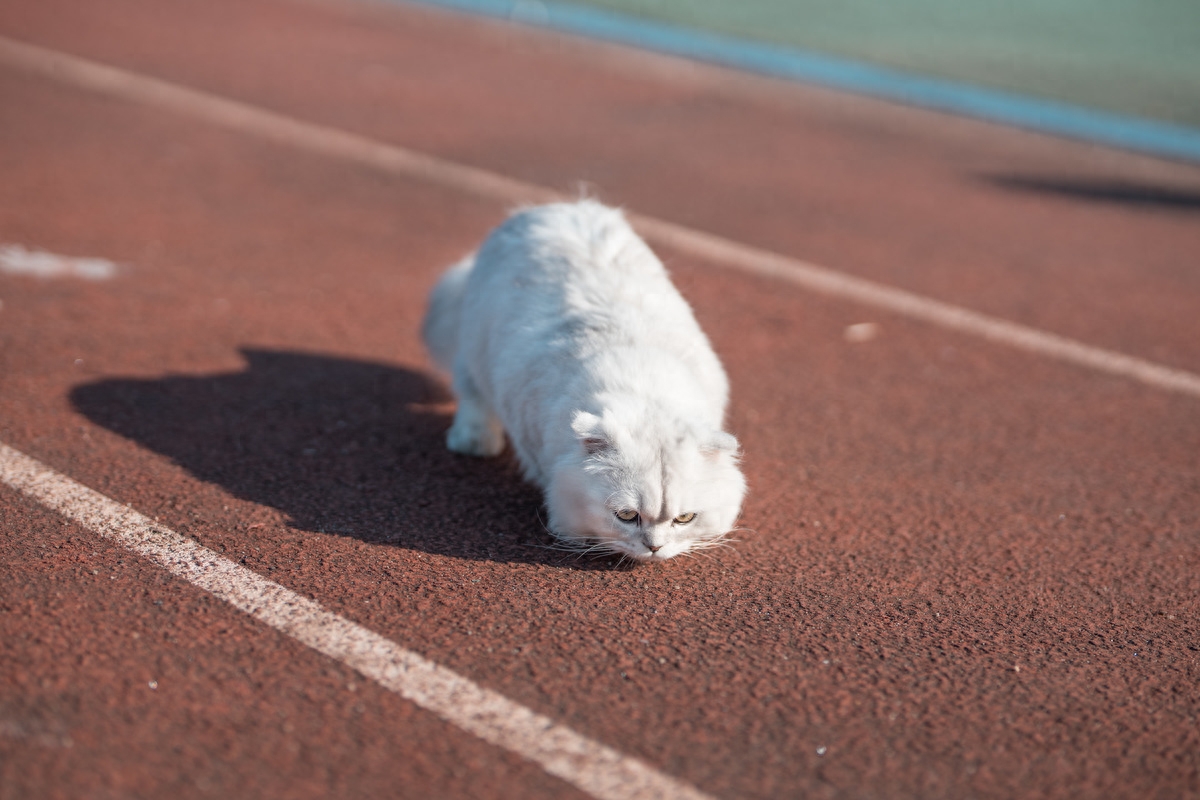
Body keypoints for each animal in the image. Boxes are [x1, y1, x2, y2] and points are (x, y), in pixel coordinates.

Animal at [420, 200, 739, 563]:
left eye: (684, 518)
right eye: (626, 516)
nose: (654, 548)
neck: (646, 396)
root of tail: (555, 208)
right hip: (474, 347)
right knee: (471, 393)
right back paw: (474, 441)